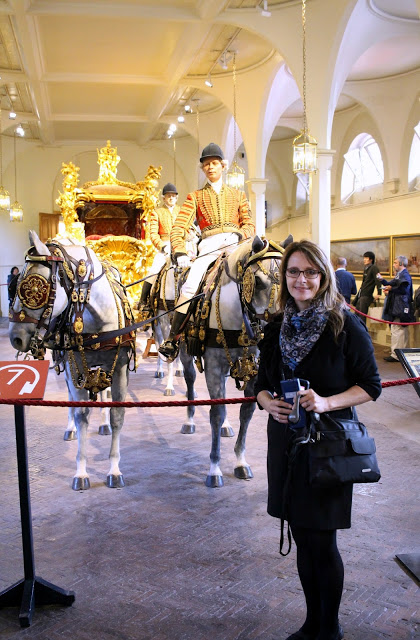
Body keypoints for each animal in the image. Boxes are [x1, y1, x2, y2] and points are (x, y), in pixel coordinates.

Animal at [9, 232, 134, 492]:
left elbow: (117, 415)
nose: (15, 337)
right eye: (18, 284)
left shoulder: (119, 369)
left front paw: (114, 470)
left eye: (35, 286)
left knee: (104, 393)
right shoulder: (75, 368)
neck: (99, 324)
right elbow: (81, 414)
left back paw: (103, 424)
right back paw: (70, 429)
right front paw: (81, 472)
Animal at [177, 235, 288, 484]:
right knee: (190, 379)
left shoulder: (254, 369)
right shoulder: (214, 368)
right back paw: (189, 421)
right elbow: (216, 413)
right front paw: (214, 468)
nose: (277, 324)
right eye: (257, 281)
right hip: (185, 353)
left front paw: (240, 461)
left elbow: (246, 411)